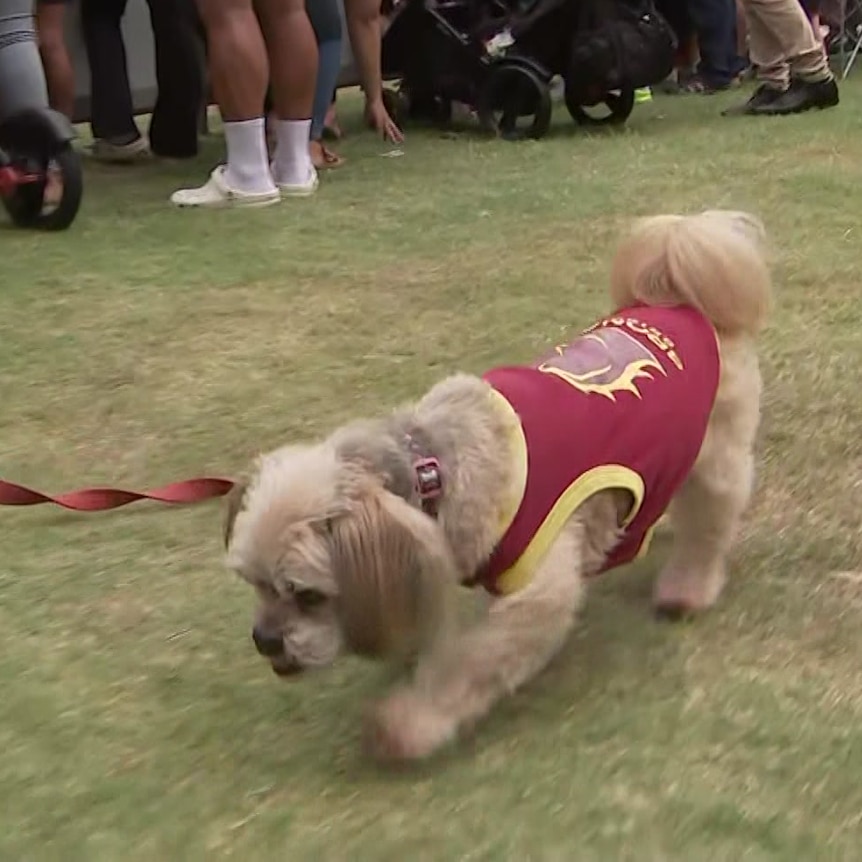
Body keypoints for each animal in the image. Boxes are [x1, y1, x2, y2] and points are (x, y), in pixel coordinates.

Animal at [224, 209, 776, 764]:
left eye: (308, 595)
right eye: (253, 582)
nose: (264, 640)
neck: (433, 466)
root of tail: (678, 297)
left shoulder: (535, 591)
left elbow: (468, 662)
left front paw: (406, 724)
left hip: (717, 456)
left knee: (709, 527)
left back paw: (686, 591)